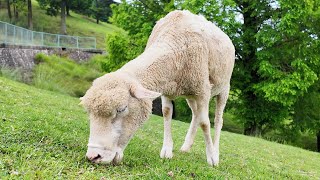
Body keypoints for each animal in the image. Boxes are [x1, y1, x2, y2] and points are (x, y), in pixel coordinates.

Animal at [80, 10, 235, 166]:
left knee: (217, 120)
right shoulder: (167, 87)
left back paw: (215, 151)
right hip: (191, 94)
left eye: (122, 109)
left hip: (224, 88)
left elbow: (205, 123)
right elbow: (166, 112)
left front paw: (212, 158)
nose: (94, 156)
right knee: (196, 114)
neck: (174, 41)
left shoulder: (203, 90)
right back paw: (186, 146)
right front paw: (167, 151)